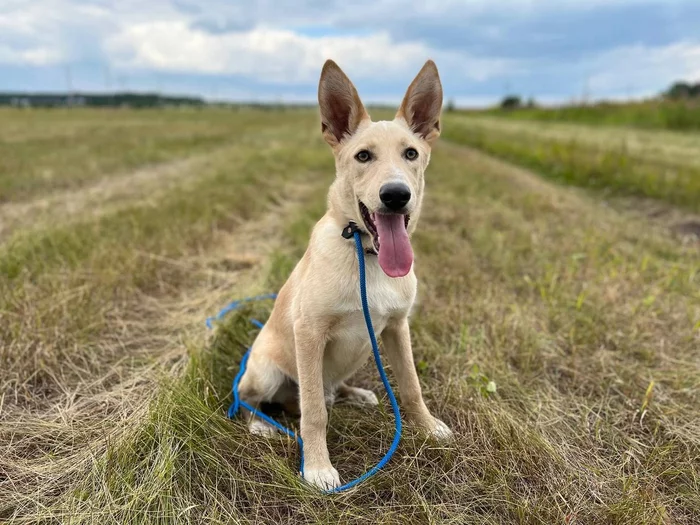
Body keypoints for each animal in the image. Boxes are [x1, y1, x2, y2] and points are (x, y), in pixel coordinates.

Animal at [238, 59, 452, 490]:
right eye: (363, 156)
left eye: (411, 153)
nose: (396, 195)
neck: (367, 257)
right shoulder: (309, 333)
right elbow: (313, 414)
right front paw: (317, 467)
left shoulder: (397, 327)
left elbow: (411, 386)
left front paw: (426, 427)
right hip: (265, 371)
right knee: (257, 403)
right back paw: (262, 425)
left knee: (328, 391)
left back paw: (355, 394)